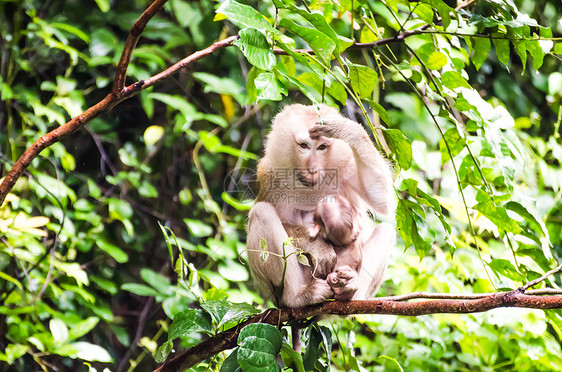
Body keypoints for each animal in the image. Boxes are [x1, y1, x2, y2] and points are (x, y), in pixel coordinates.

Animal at [245, 103, 394, 306]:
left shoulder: (347, 167)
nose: (313, 169)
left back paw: (350, 291)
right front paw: (318, 247)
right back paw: (298, 297)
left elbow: (382, 199)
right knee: (262, 212)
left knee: (386, 230)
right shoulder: (270, 175)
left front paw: (347, 129)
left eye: (322, 147)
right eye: (304, 146)